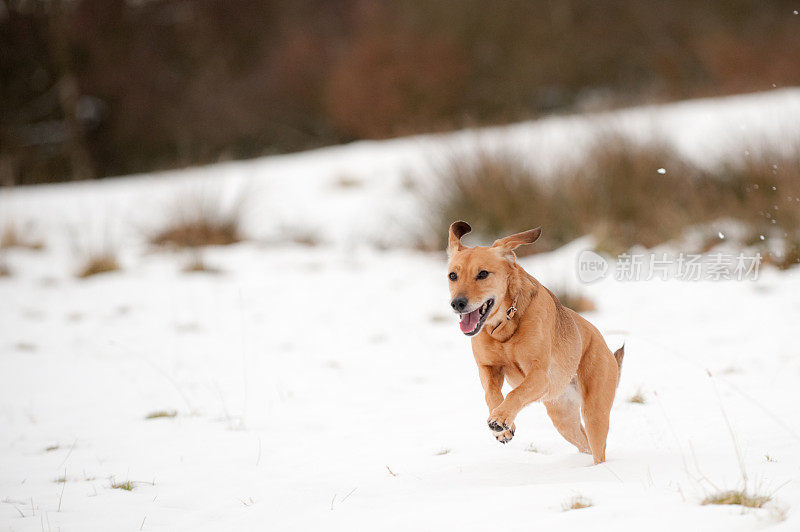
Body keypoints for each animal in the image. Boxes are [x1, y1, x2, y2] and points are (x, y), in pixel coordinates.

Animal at [444, 222, 624, 464]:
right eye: (453, 275)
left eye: (482, 274)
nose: (457, 303)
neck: (505, 326)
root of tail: (604, 346)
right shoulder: (487, 368)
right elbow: (491, 394)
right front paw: (502, 427)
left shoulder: (539, 376)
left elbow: (516, 393)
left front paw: (500, 418)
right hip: (563, 417)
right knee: (583, 442)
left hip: (595, 410)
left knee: (597, 448)